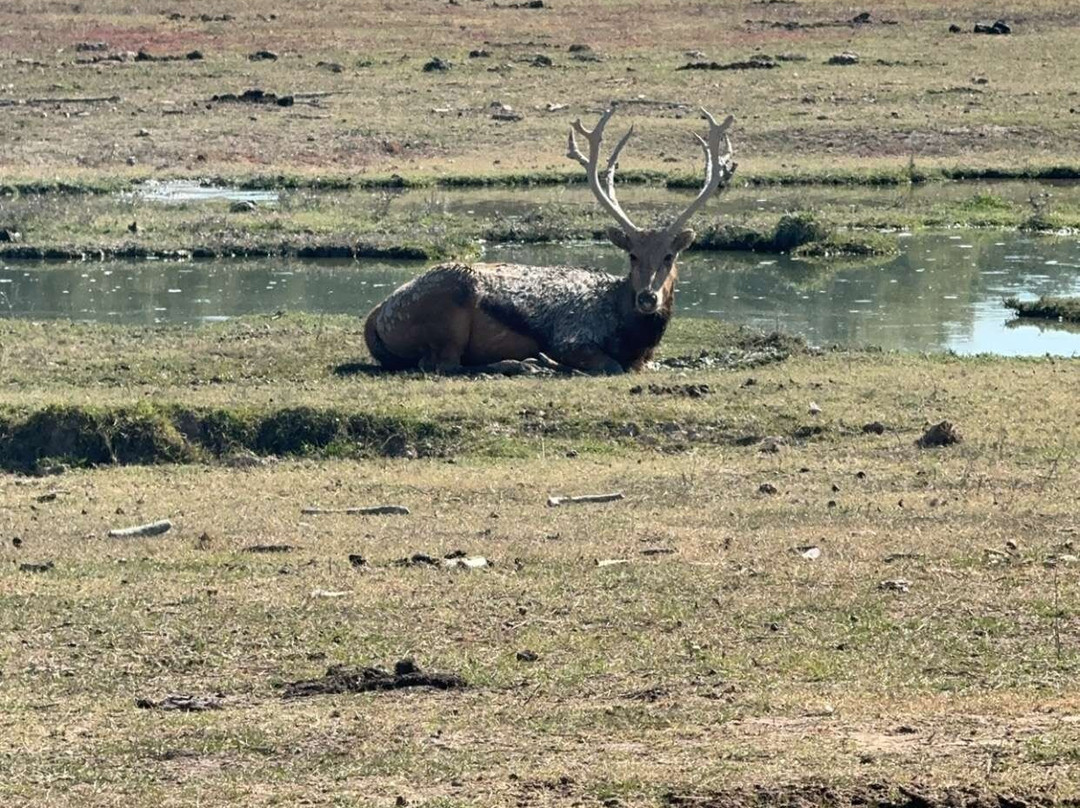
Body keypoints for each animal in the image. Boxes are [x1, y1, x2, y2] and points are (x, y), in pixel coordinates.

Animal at [362, 103, 734, 375]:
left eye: (670, 256)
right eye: (633, 256)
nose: (647, 298)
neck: (631, 337)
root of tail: (376, 318)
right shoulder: (571, 336)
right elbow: (609, 365)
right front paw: (549, 360)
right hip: (448, 312)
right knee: (443, 365)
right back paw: (527, 364)